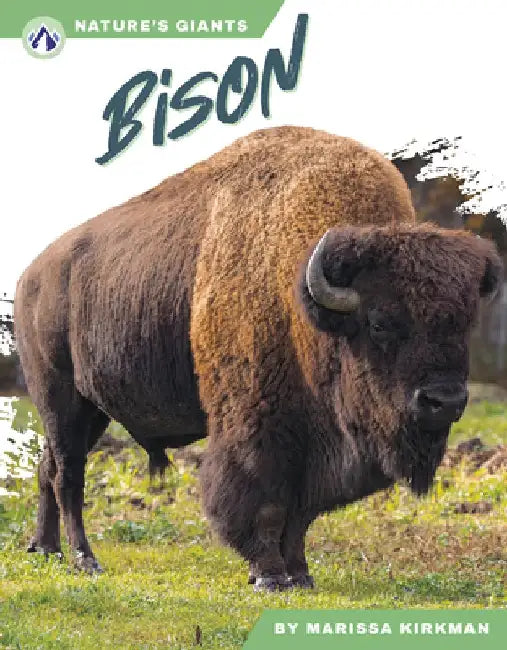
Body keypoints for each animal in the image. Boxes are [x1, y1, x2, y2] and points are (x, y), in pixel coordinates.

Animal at [14, 126, 501, 590]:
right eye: (380, 323)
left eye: (463, 323)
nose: (444, 401)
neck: (300, 299)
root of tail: (30, 276)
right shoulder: (258, 429)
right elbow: (264, 502)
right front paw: (269, 576)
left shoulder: (312, 447)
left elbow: (300, 514)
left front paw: (300, 574)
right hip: (60, 398)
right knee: (68, 476)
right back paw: (85, 559)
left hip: (91, 410)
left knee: (47, 467)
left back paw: (45, 549)